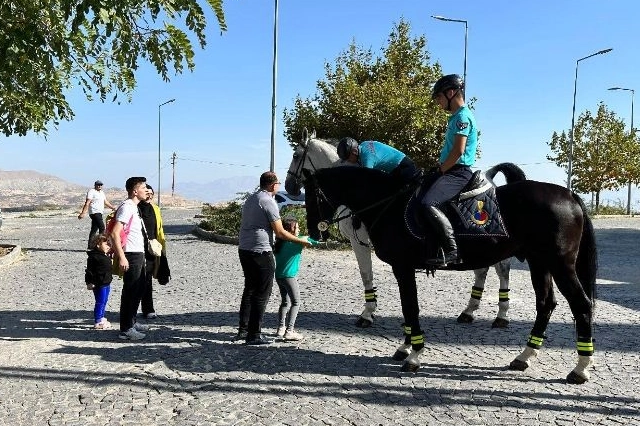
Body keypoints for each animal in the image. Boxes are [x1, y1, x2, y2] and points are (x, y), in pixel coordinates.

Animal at [284, 131, 516, 328]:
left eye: (295, 155)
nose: (288, 187)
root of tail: (490, 179)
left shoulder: (360, 242)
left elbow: (366, 274)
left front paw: (367, 314)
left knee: (502, 270)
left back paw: (501, 316)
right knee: (482, 270)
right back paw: (469, 311)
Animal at [308, 165, 596, 384]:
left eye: (311, 194)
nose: (313, 231)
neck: (389, 204)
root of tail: (569, 195)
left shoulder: (403, 267)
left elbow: (410, 307)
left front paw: (414, 355)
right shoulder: (403, 269)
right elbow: (407, 308)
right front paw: (406, 347)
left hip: (560, 264)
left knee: (581, 305)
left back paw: (580, 368)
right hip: (540, 263)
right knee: (546, 304)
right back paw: (524, 357)